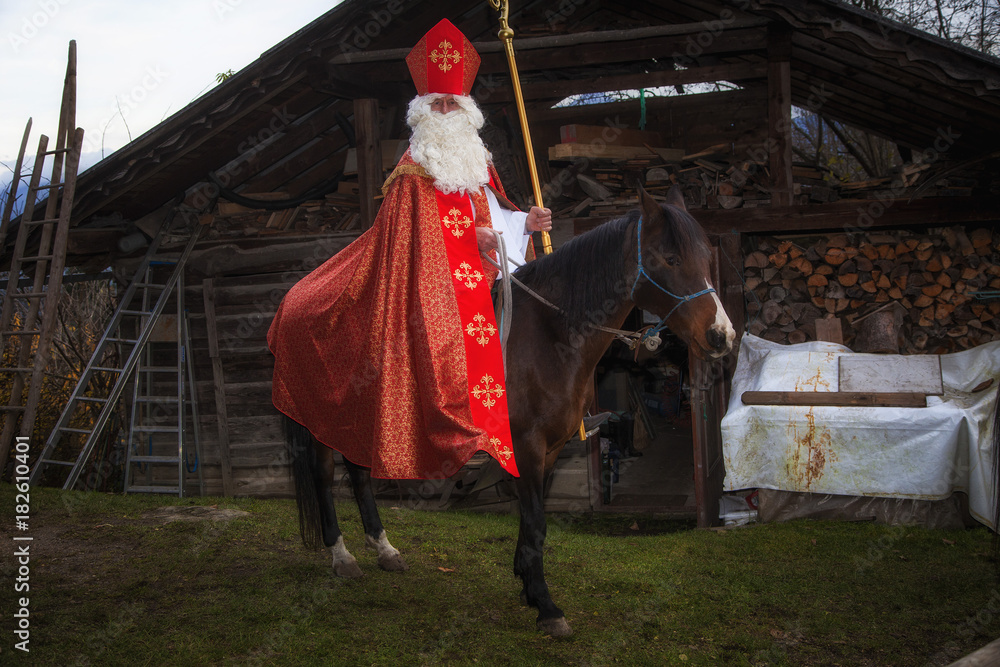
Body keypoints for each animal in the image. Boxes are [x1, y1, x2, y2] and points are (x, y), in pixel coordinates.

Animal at [284, 187, 736, 636]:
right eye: (671, 259)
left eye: (703, 257)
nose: (722, 336)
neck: (549, 335)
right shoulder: (526, 444)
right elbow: (535, 521)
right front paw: (547, 606)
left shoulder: (549, 448)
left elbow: (532, 521)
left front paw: (527, 583)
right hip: (320, 419)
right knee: (324, 475)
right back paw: (341, 555)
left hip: (359, 419)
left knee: (359, 471)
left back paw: (384, 548)